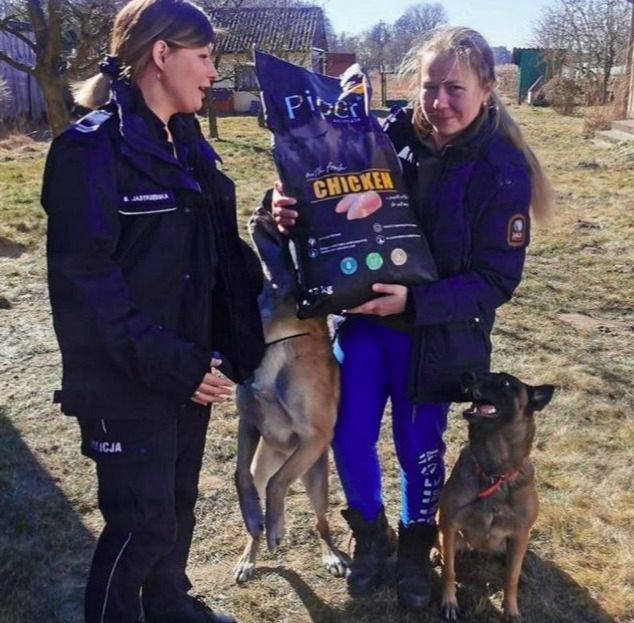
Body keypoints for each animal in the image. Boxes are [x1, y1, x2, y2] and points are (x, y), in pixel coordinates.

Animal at [232, 207, 346, 584]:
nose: (261, 209)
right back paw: (248, 556)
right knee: (257, 487)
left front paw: (276, 526)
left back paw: (331, 555)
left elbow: (278, 484)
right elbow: (241, 478)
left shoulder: (314, 437)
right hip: (264, 461)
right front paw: (256, 518)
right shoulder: (248, 422)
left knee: (321, 522)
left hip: (315, 478)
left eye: (287, 235)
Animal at [436, 372, 552, 620]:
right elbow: (449, 570)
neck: (493, 472)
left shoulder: (520, 534)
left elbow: (511, 579)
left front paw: (511, 610)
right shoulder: (449, 526)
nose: (467, 375)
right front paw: (449, 602)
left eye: (506, 383)